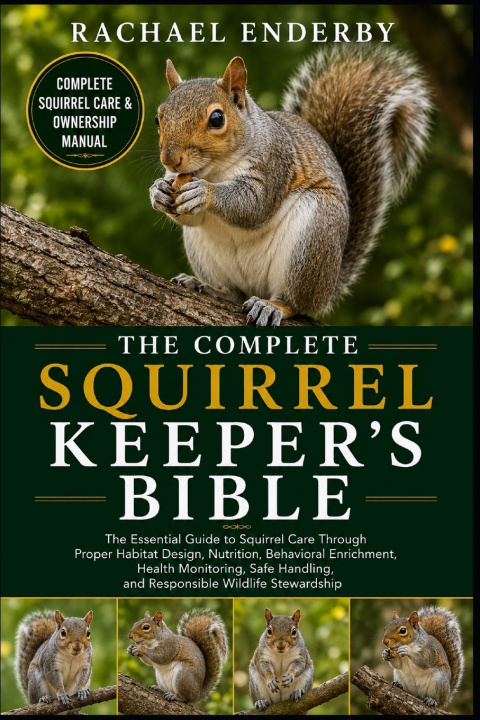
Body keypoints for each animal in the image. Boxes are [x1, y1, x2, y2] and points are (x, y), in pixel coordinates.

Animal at [149, 46, 432, 326]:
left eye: (217, 119)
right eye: (157, 118)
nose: (170, 160)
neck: (215, 170)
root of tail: (330, 284)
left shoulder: (275, 164)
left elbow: (254, 207)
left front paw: (203, 192)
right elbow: (190, 217)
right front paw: (157, 191)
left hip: (313, 238)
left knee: (296, 303)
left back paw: (272, 306)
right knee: (234, 292)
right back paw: (205, 286)